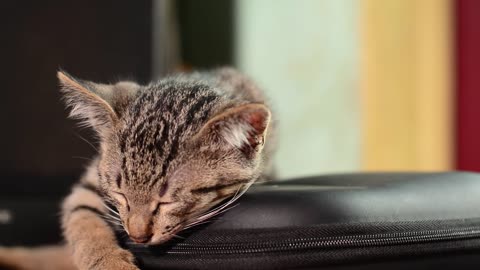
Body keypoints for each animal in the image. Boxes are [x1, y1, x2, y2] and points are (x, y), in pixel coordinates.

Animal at [0, 67, 274, 270]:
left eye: (167, 202)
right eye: (120, 194)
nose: (137, 237)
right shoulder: (90, 184)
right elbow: (82, 219)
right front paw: (109, 262)